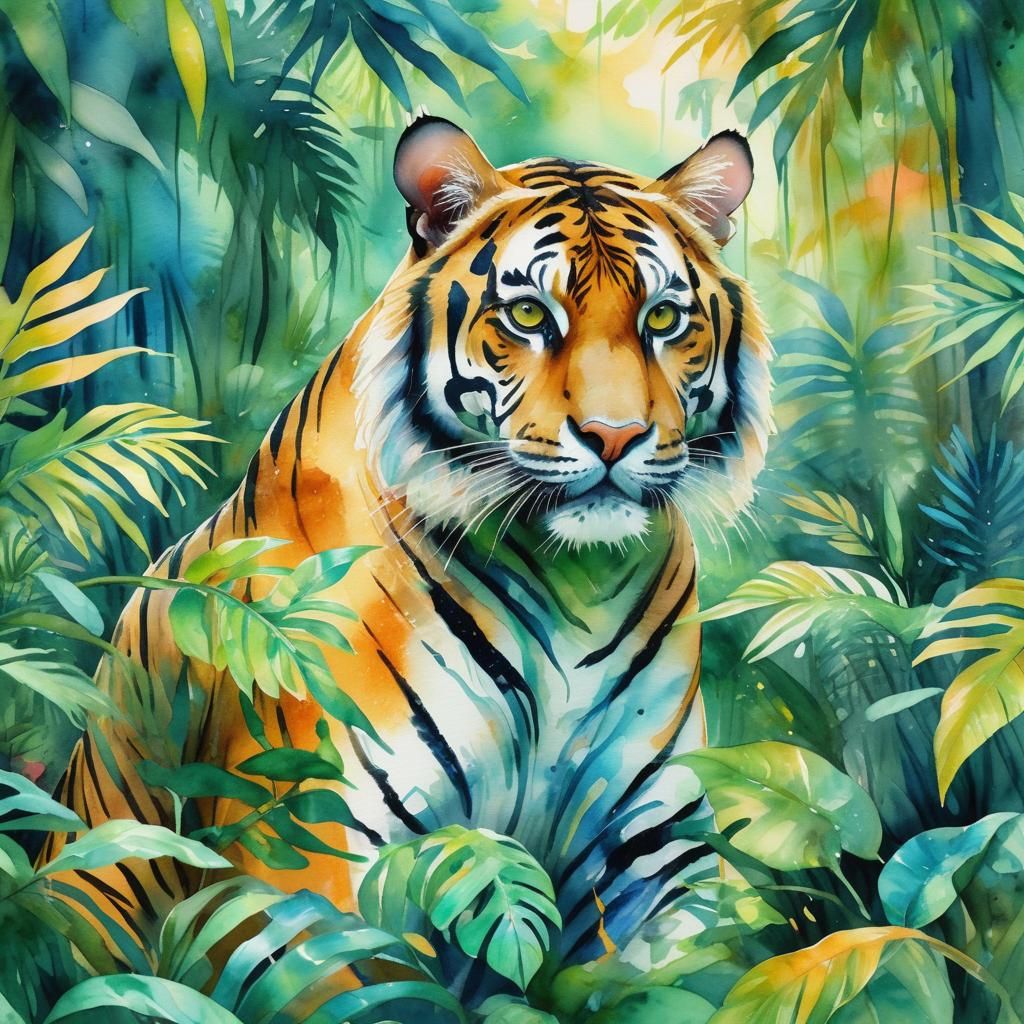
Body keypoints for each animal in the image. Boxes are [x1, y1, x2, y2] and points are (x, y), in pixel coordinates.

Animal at [43, 116, 771, 978]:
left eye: (662, 320)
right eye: (530, 316)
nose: (616, 436)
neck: (573, 584)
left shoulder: (656, 858)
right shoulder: (311, 850)